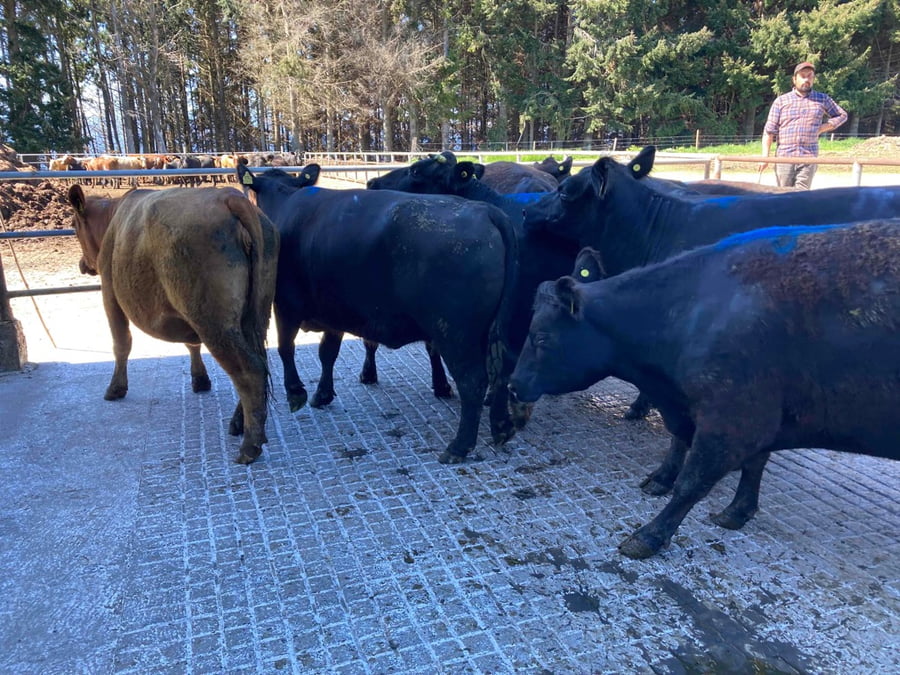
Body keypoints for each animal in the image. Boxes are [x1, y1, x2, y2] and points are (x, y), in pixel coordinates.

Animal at [66, 185, 279, 464]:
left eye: (73, 225)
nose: (83, 264)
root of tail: (229, 196)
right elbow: (191, 344)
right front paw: (200, 380)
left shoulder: (110, 293)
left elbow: (121, 343)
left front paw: (115, 389)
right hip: (254, 314)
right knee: (259, 360)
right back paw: (239, 423)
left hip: (213, 321)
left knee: (249, 369)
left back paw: (249, 446)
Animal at [239, 163, 521, 464]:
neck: (286, 203)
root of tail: (486, 211)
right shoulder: (334, 310)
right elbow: (327, 353)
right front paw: (322, 394)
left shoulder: (285, 305)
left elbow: (285, 349)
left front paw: (296, 392)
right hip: (496, 329)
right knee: (501, 371)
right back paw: (502, 428)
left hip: (454, 333)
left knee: (473, 381)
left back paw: (459, 446)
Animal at [510, 220, 900, 559]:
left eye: (541, 337)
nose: (514, 385)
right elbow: (741, 461)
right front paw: (736, 510)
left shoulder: (733, 421)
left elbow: (692, 481)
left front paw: (649, 535)